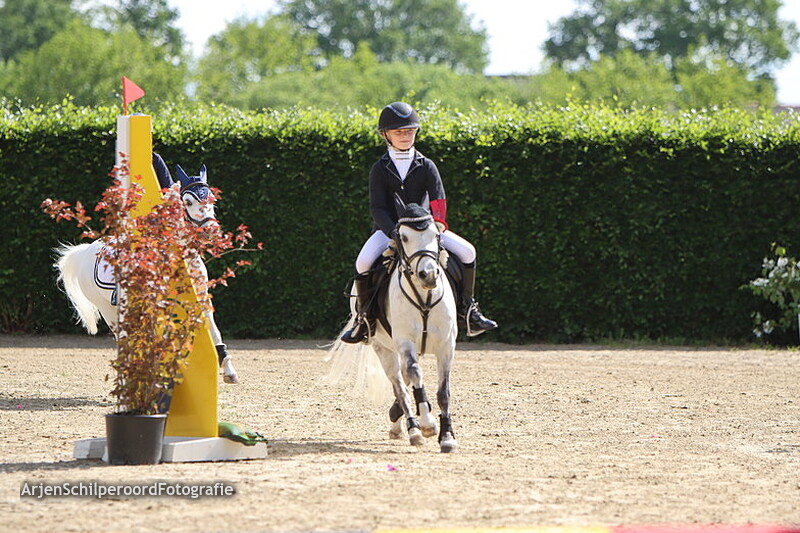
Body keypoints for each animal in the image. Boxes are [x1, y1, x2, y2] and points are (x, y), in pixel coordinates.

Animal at [53, 164, 239, 384]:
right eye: (188, 202)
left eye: (211, 200)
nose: (211, 231)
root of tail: (86, 251)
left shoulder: (200, 297)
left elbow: (213, 330)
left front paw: (228, 370)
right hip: (107, 308)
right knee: (122, 337)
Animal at [329, 199, 458, 452]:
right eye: (404, 237)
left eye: (436, 234)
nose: (428, 276)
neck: (424, 297)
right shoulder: (405, 341)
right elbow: (415, 375)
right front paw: (427, 425)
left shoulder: (446, 345)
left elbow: (443, 392)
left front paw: (447, 436)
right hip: (383, 347)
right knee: (399, 383)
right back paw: (413, 429)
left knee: (404, 382)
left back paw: (398, 421)